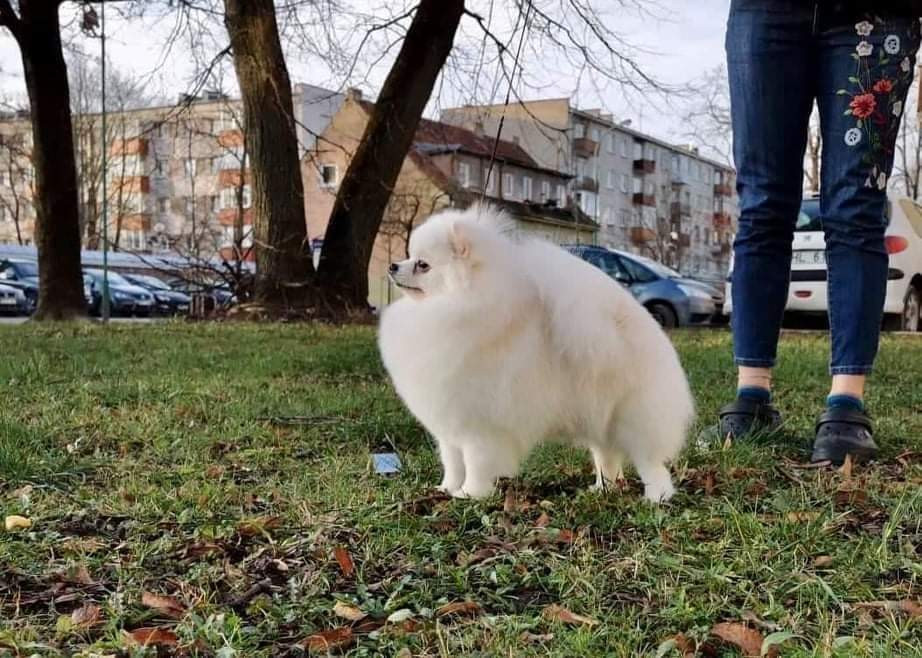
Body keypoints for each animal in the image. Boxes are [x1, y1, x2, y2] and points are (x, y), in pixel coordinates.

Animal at [376, 205, 688, 502]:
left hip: (634, 419)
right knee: (606, 457)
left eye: (423, 265)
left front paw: (470, 494)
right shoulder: (450, 430)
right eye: (409, 257)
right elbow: (452, 463)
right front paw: (447, 489)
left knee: (651, 464)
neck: (454, 307)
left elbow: (475, 465)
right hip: (601, 420)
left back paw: (656, 497)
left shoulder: (479, 429)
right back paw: (602, 490)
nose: (392, 265)